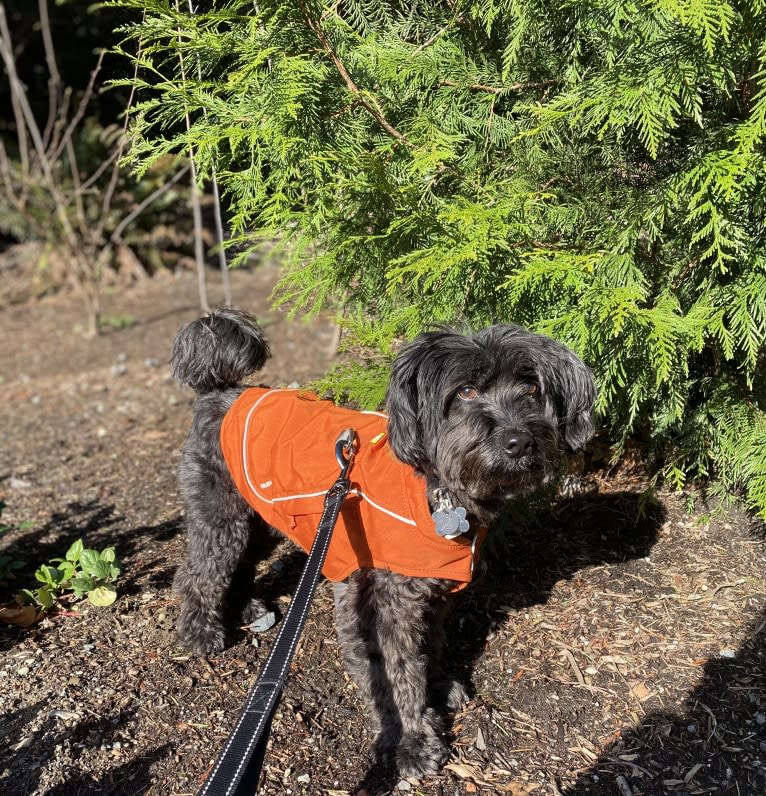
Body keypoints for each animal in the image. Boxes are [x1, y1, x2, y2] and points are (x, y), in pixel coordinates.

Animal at [171, 310, 596, 776]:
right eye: (465, 391)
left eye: (532, 388)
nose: (518, 441)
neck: (434, 490)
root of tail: (222, 393)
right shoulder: (378, 601)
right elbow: (395, 672)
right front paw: (412, 742)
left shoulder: (433, 591)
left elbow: (430, 644)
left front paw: (438, 685)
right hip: (220, 512)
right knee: (198, 570)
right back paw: (200, 631)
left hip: (262, 514)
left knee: (244, 559)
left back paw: (245, 605)